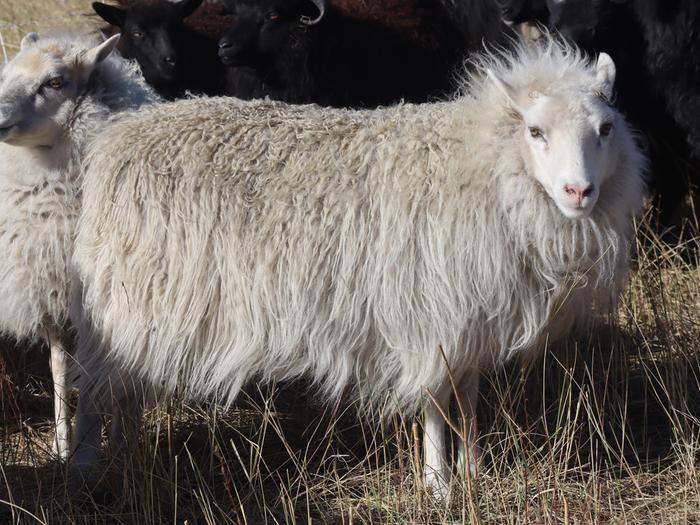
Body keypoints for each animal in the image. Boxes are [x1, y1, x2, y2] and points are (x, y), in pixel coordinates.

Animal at [0, 31, 158, 458]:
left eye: (55, 82)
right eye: (6, 74)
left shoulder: (94, 304)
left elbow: (91, 376)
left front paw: (86, 454)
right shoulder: (51, 295)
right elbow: (59, 369)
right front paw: (61, 445)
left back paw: (124, 441)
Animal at [71, 37, 644, 496]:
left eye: (606, 128)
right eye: (535, 131)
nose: (578, 192)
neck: (483, 167)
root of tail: (115, 137)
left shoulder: (472, 318)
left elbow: (469, 399)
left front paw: (474, 471)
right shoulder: (432, 316)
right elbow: (437, 402)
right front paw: (439, 486)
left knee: (121, 389)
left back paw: (125, 450)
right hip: (117, 304)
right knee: (93, 387)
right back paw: (88, 461)